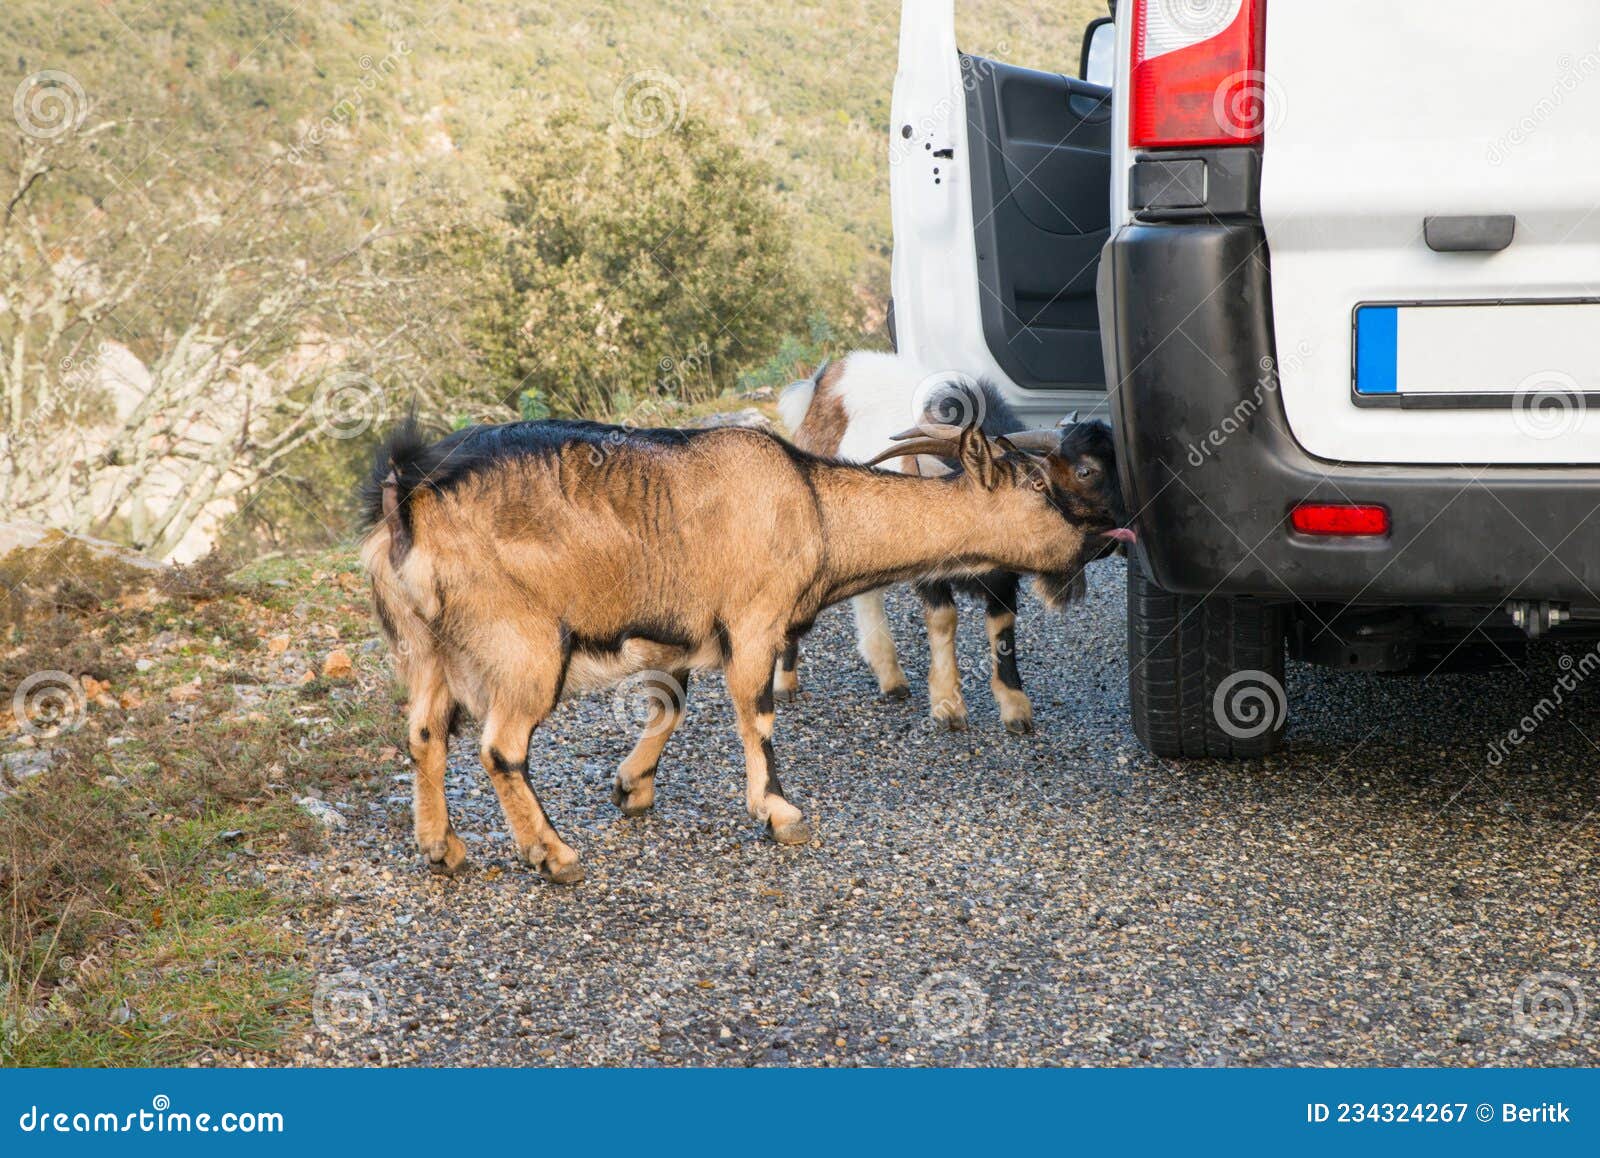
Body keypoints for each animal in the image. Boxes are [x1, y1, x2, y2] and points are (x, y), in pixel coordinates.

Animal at [360, 422, 1126, 882]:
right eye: (1038, 484)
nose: (1103, 536)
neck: (815, 506)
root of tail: (408, 508)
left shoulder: (684, 630)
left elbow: (669, 707)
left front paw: (632, 787)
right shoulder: (755, 621)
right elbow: (755, 716)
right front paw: (780, 814)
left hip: (426, 647)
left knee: (425, 732)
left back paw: (442, 846)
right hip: (523, 644)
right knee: (500, 746)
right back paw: (553, 854)